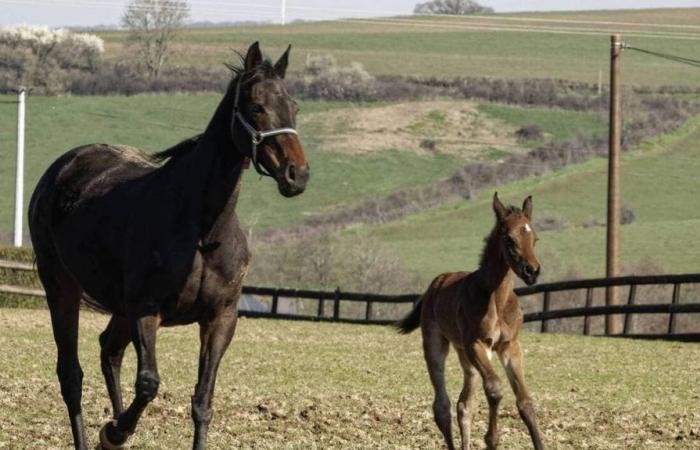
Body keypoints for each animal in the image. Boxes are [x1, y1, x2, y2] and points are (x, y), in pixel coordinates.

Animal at [396, 193, 544, 450]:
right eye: (509, 238)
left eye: (533, 238)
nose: (531, 271)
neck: (496, 299)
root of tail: (437, 282)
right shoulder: (477, 343)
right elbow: (494, 389)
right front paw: (491, 439)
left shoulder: (510, 346)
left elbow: (525, 401)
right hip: (436, 344)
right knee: (442, 405)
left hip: (466, 356)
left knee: (465, 405)